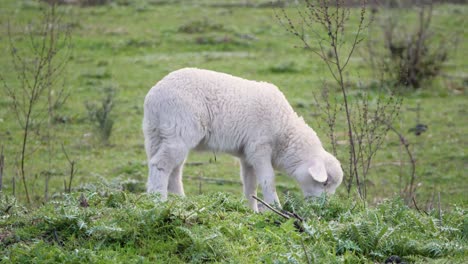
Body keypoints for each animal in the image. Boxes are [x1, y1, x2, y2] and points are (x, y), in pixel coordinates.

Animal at [143, 67, 344, 210]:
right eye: (324, 183)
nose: (324, 208)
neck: (284, 133)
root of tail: (153, 96)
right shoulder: (259, 147)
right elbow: (268, 180)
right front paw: (275, 208)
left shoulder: (247, 154)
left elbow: (250, 184)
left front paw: (252, 210)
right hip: (179, 130)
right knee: (160, 165)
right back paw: (158, 201)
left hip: (156, 134)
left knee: (173, 170)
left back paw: (180, 201)